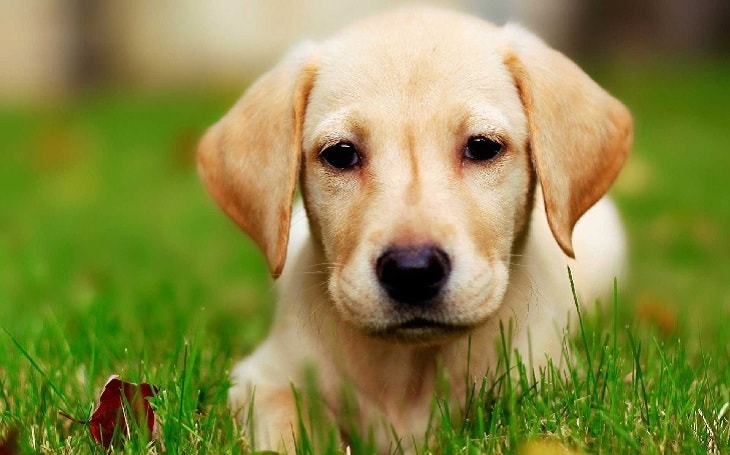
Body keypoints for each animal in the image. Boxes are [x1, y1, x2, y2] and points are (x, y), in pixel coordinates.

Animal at [196, 5, 628, 454]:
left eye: (482, 147)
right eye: (341, 154)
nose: (412, 272)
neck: (408, 369)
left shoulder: (549, 375)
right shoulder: (261, 379)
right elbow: (289, 424)